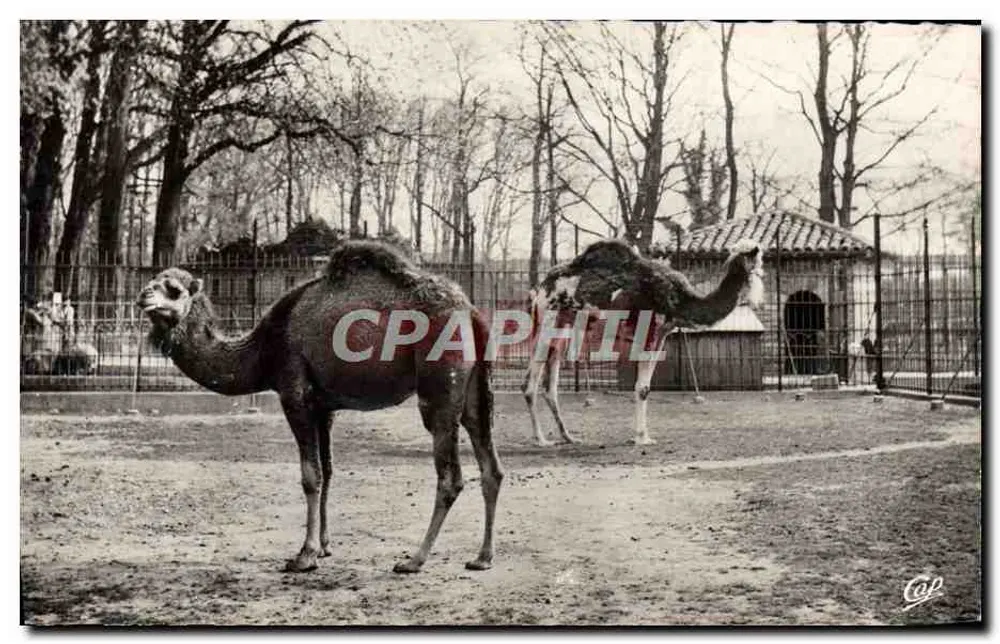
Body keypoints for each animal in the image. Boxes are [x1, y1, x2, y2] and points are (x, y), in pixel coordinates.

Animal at [136, 241, 502, 574]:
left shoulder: (294, 392)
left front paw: (305, 555)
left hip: (439, 386)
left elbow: (310, 476)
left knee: (450, 476)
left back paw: (414, 559)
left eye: (174, 290)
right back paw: (482, 557)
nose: (143, 296)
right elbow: (328, 470)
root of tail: (471, 311)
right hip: (474, 390)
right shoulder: (325, 406)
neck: (263, 349)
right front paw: (325, 546)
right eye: (153, 281)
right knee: (491, 465)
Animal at [523, 238, 764, 446]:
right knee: (529, 384)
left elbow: (646, 387)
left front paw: (642, 435)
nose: (761, 272)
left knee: (550, 386)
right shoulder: (650, 332)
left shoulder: (662, 335)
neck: (678, 300)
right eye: (756, 259)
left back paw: (568, 437)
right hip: (546, 322)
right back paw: (541, 439)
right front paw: (641, 438)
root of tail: (538, 289)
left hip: (563, 329)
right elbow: (642, 388)